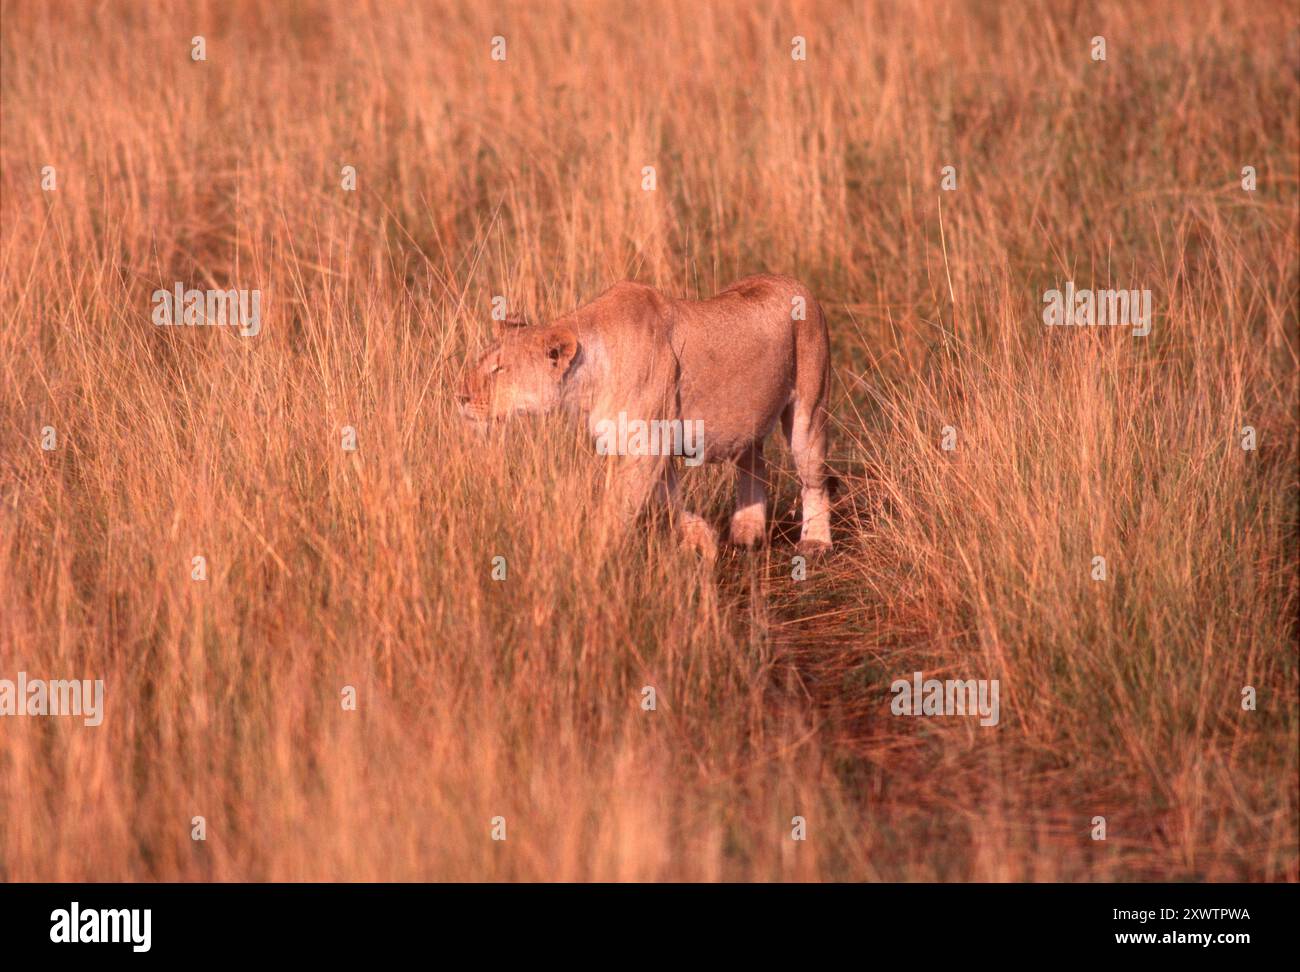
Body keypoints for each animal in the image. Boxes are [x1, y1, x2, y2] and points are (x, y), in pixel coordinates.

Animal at [457, 273, 833, 557]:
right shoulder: (645, 444)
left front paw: (595, 550)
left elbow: (620, 504)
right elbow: (665, 499)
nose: (460, 397)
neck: (587, 377)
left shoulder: (648, 442)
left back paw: (815, 541)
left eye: (499, 370)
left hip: (810, 410)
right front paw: (701, 537)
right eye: (481, 362)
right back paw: (746, 531)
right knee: (752, 460)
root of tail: (796, 283)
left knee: (814, 479)